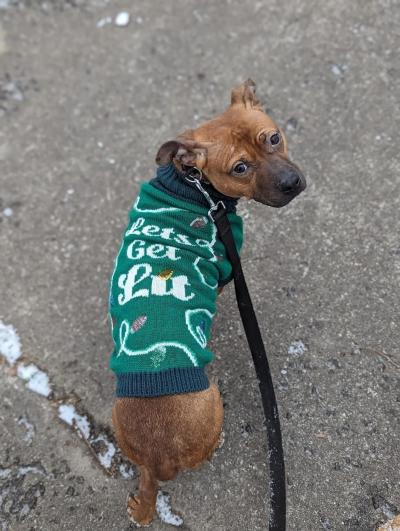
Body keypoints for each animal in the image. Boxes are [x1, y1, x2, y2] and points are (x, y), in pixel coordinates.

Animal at [110, 80, 306, 528]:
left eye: (273, 138)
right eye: (240, 169)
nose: (291, 182)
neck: (194, 186)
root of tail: (157, 461)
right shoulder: (227, 265)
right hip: (213, 399)